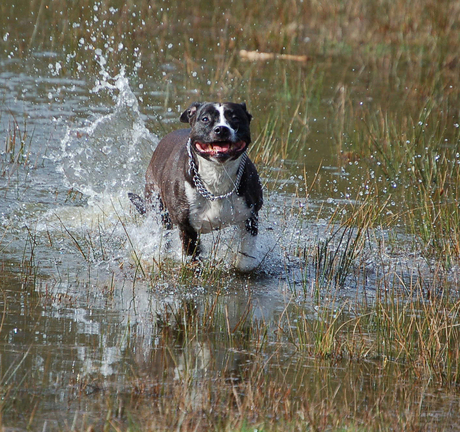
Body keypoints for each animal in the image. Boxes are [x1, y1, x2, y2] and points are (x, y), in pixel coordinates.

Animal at [129, 101, 264, 272]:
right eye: (205, 119)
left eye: (235, 118)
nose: (221, 129)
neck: (217, 176)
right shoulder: (186, 227)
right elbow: (192, 258)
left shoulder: (251, 216)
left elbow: (246, 261)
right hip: (158, 208)